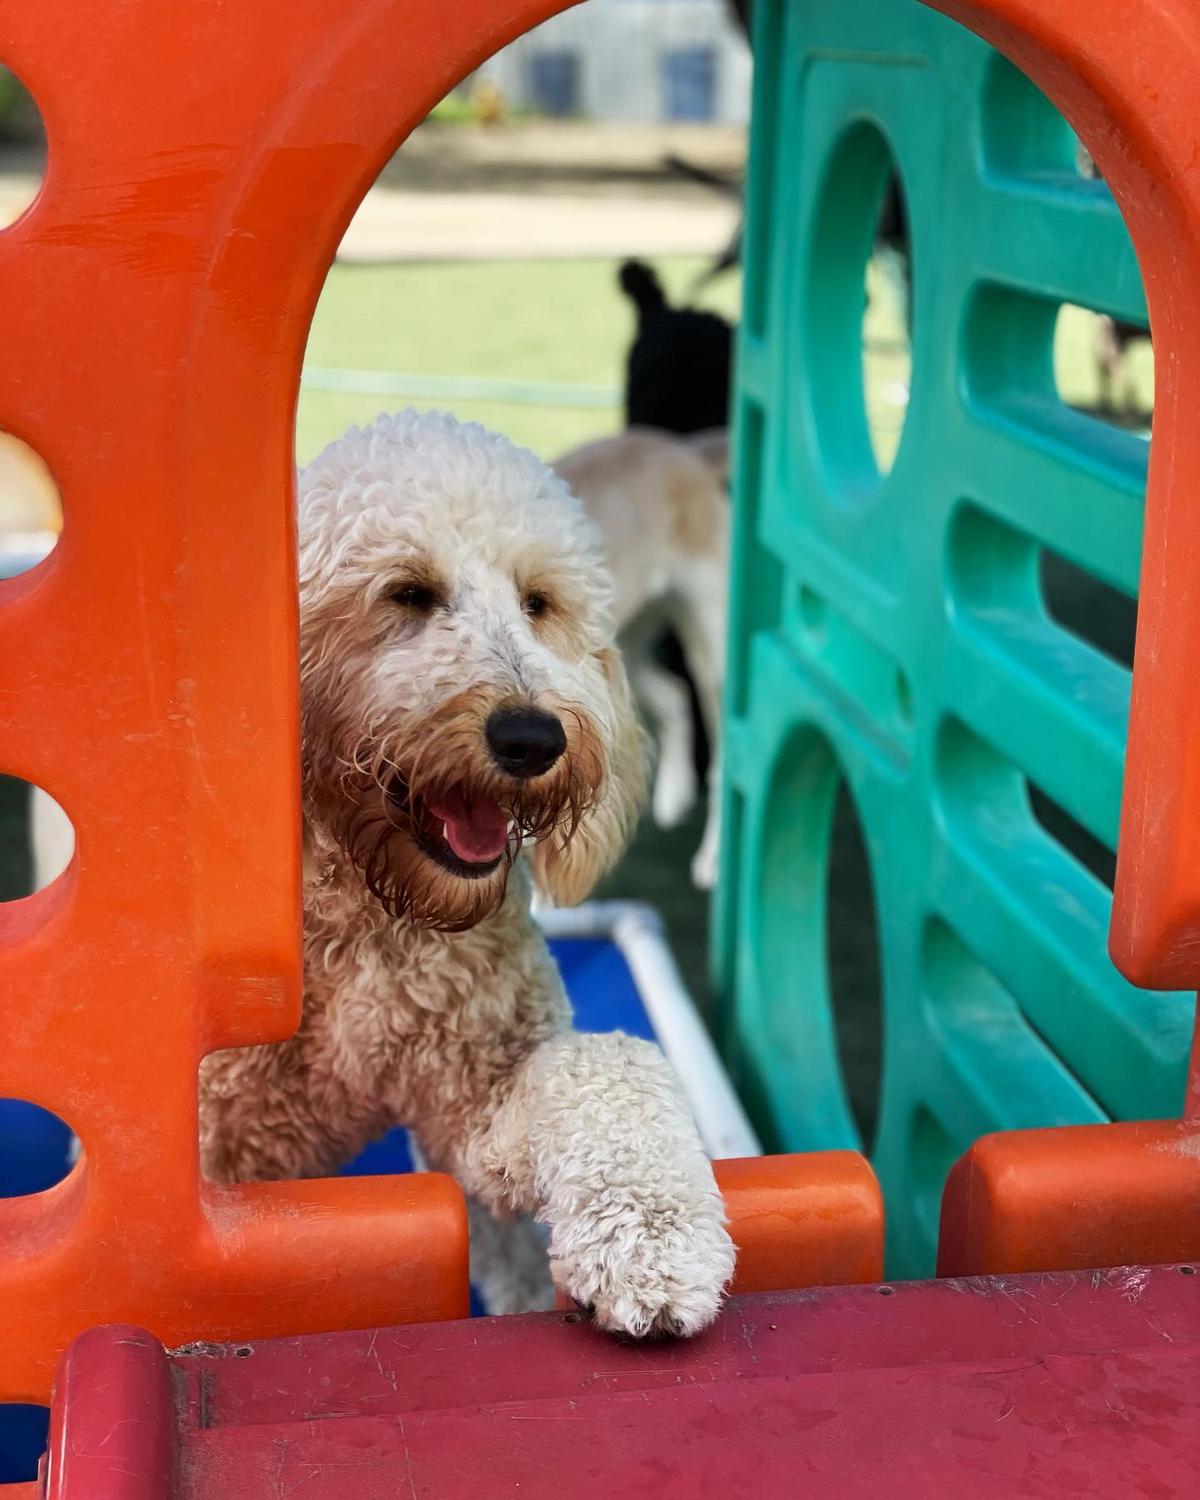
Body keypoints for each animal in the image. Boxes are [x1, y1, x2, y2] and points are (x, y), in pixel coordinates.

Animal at [193, 408, 735, 1338]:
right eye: (408, 592)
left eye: (539, 603)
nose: (533, 738)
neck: (378, 920)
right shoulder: (216, 1144)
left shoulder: (474, 1114)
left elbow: (606, 1067)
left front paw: (654, 1238)